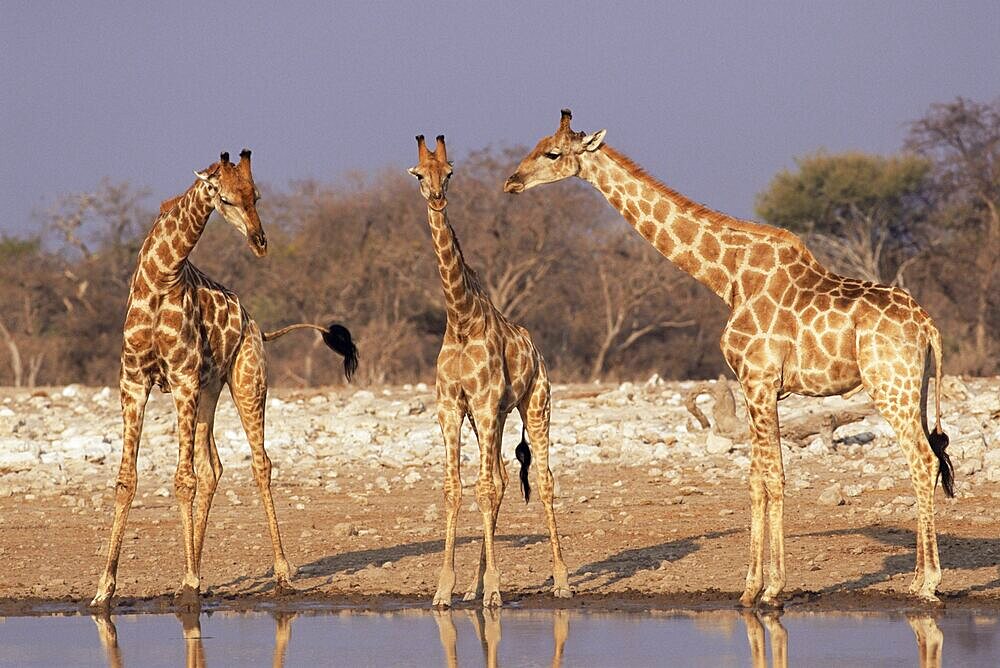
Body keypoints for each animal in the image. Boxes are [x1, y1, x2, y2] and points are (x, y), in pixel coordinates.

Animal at [88, 151, 358, 612]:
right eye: (226, 198)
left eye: (257, 195)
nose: (260, 241)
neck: (161, 278)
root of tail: (257, 326)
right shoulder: (134, 382)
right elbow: (128, 480)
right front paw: (105, 589)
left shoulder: (180, 378)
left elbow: (183, 480)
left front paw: (189, 583)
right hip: (209, 392)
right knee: (213, 467)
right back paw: (199, 574)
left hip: (247, 381)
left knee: (260, 463)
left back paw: (280, 574)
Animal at [408, 136, 572, 612]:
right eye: (420, 174)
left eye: (449, 173)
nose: (437, 198)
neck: (461, 320)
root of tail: (537, 350)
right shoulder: (450, 408)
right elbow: (455, 488)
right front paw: (446, 589)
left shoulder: (482, 404)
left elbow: (481, 488)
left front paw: (495, 589)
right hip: (496, 417)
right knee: (499, 478)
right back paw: (475, 586)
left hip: (535, 405)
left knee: (542, 479)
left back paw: (561, 581)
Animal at [504, 109, 956, 604]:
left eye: (552, 153)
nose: (512, 181)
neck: (730, 278)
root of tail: (928, 326)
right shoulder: (755, 386)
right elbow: (756, 478)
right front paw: (750, 587)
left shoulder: (759, 381)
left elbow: (773, 476)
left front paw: (773, 586)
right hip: (914, 389)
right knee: (923, 459)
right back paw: (916, 577)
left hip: (890, 387)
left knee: (924, 460)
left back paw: (930, 582)